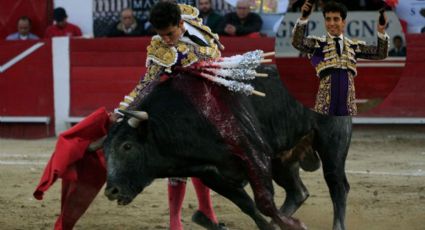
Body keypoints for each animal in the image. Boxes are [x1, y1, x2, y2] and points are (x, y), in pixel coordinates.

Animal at [102, 65, 352, 230]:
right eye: (104, 151)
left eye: (127, 146)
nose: (110, 191)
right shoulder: (210, 173)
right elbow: (247, 204)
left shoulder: (255, 154)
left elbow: (264, 201)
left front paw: (296, 225)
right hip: (284, 159)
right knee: (298, 192)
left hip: (332, 141)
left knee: (337, 185)